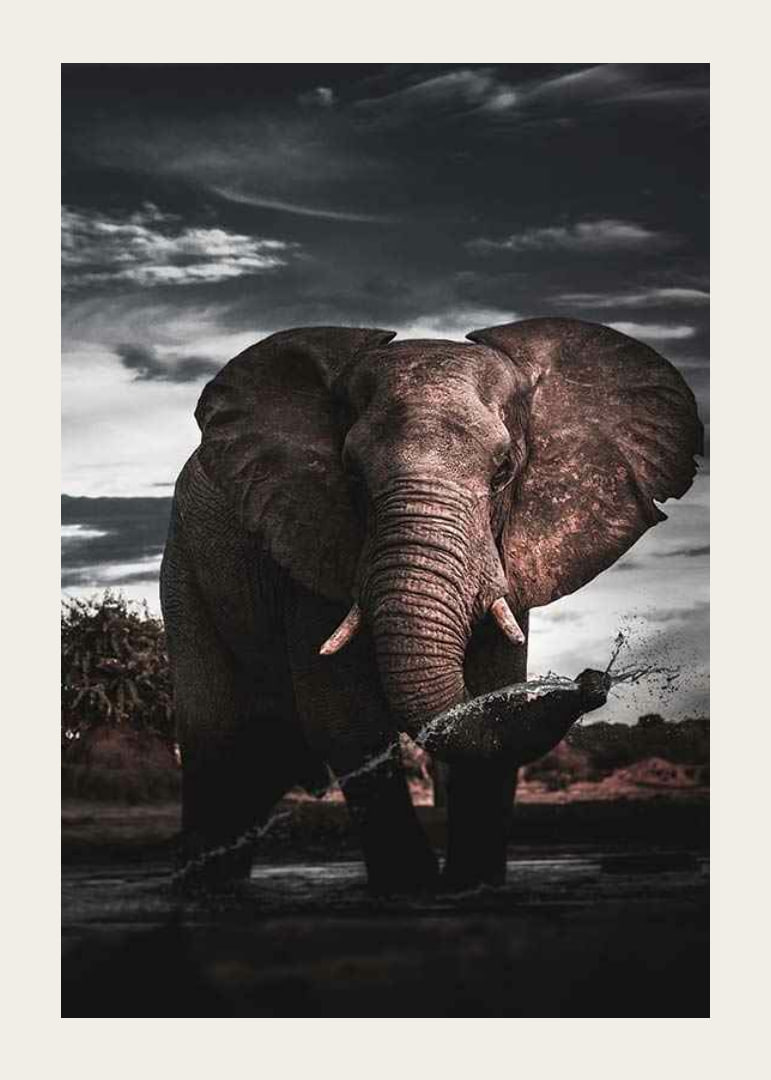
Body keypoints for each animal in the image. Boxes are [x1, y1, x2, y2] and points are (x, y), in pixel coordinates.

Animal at [160, 317, 703, 893]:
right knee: (216, 741)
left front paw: (473, 886)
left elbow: (491, 692)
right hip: (185, 569)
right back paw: (202, 891)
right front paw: (412, 889)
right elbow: (345, 718)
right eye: (351, 474)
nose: (593, 680)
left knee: (265, 757)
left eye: (505, 471)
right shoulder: (309, 542)